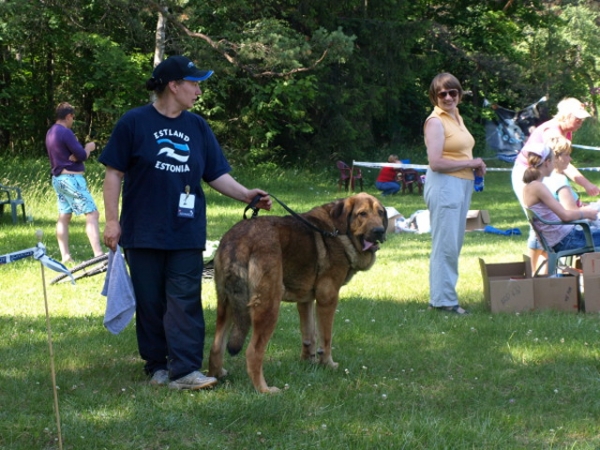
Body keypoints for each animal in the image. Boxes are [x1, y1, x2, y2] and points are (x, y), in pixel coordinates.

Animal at [209, 193, 386, 394]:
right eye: (362, 214)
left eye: (381, 213)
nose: (380, 231)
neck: (339, 231)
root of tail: (239, 240)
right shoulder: (328, 298)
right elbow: (326, 338)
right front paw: (328, 364)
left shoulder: (306, 301)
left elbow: (309, 335)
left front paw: (308, 362)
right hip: (268, 307)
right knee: (253, 352)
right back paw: (264, 390)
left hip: (227, 305)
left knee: (216, 346)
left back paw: (217, 375)